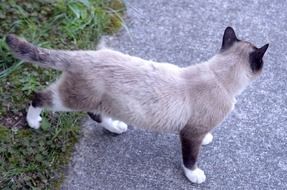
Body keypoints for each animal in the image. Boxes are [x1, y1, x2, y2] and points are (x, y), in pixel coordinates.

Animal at [5, 26, 270, 183]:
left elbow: (202, 139)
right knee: (39, 97)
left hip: (101, 100)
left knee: (95, 114)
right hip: (70, 99)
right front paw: (194, 175)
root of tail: (84, 54)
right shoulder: (190, 134)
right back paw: (34, 122)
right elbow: (190, 158)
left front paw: (208, 139)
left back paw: (116, 127)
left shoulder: (196, 128)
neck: (219, 77)